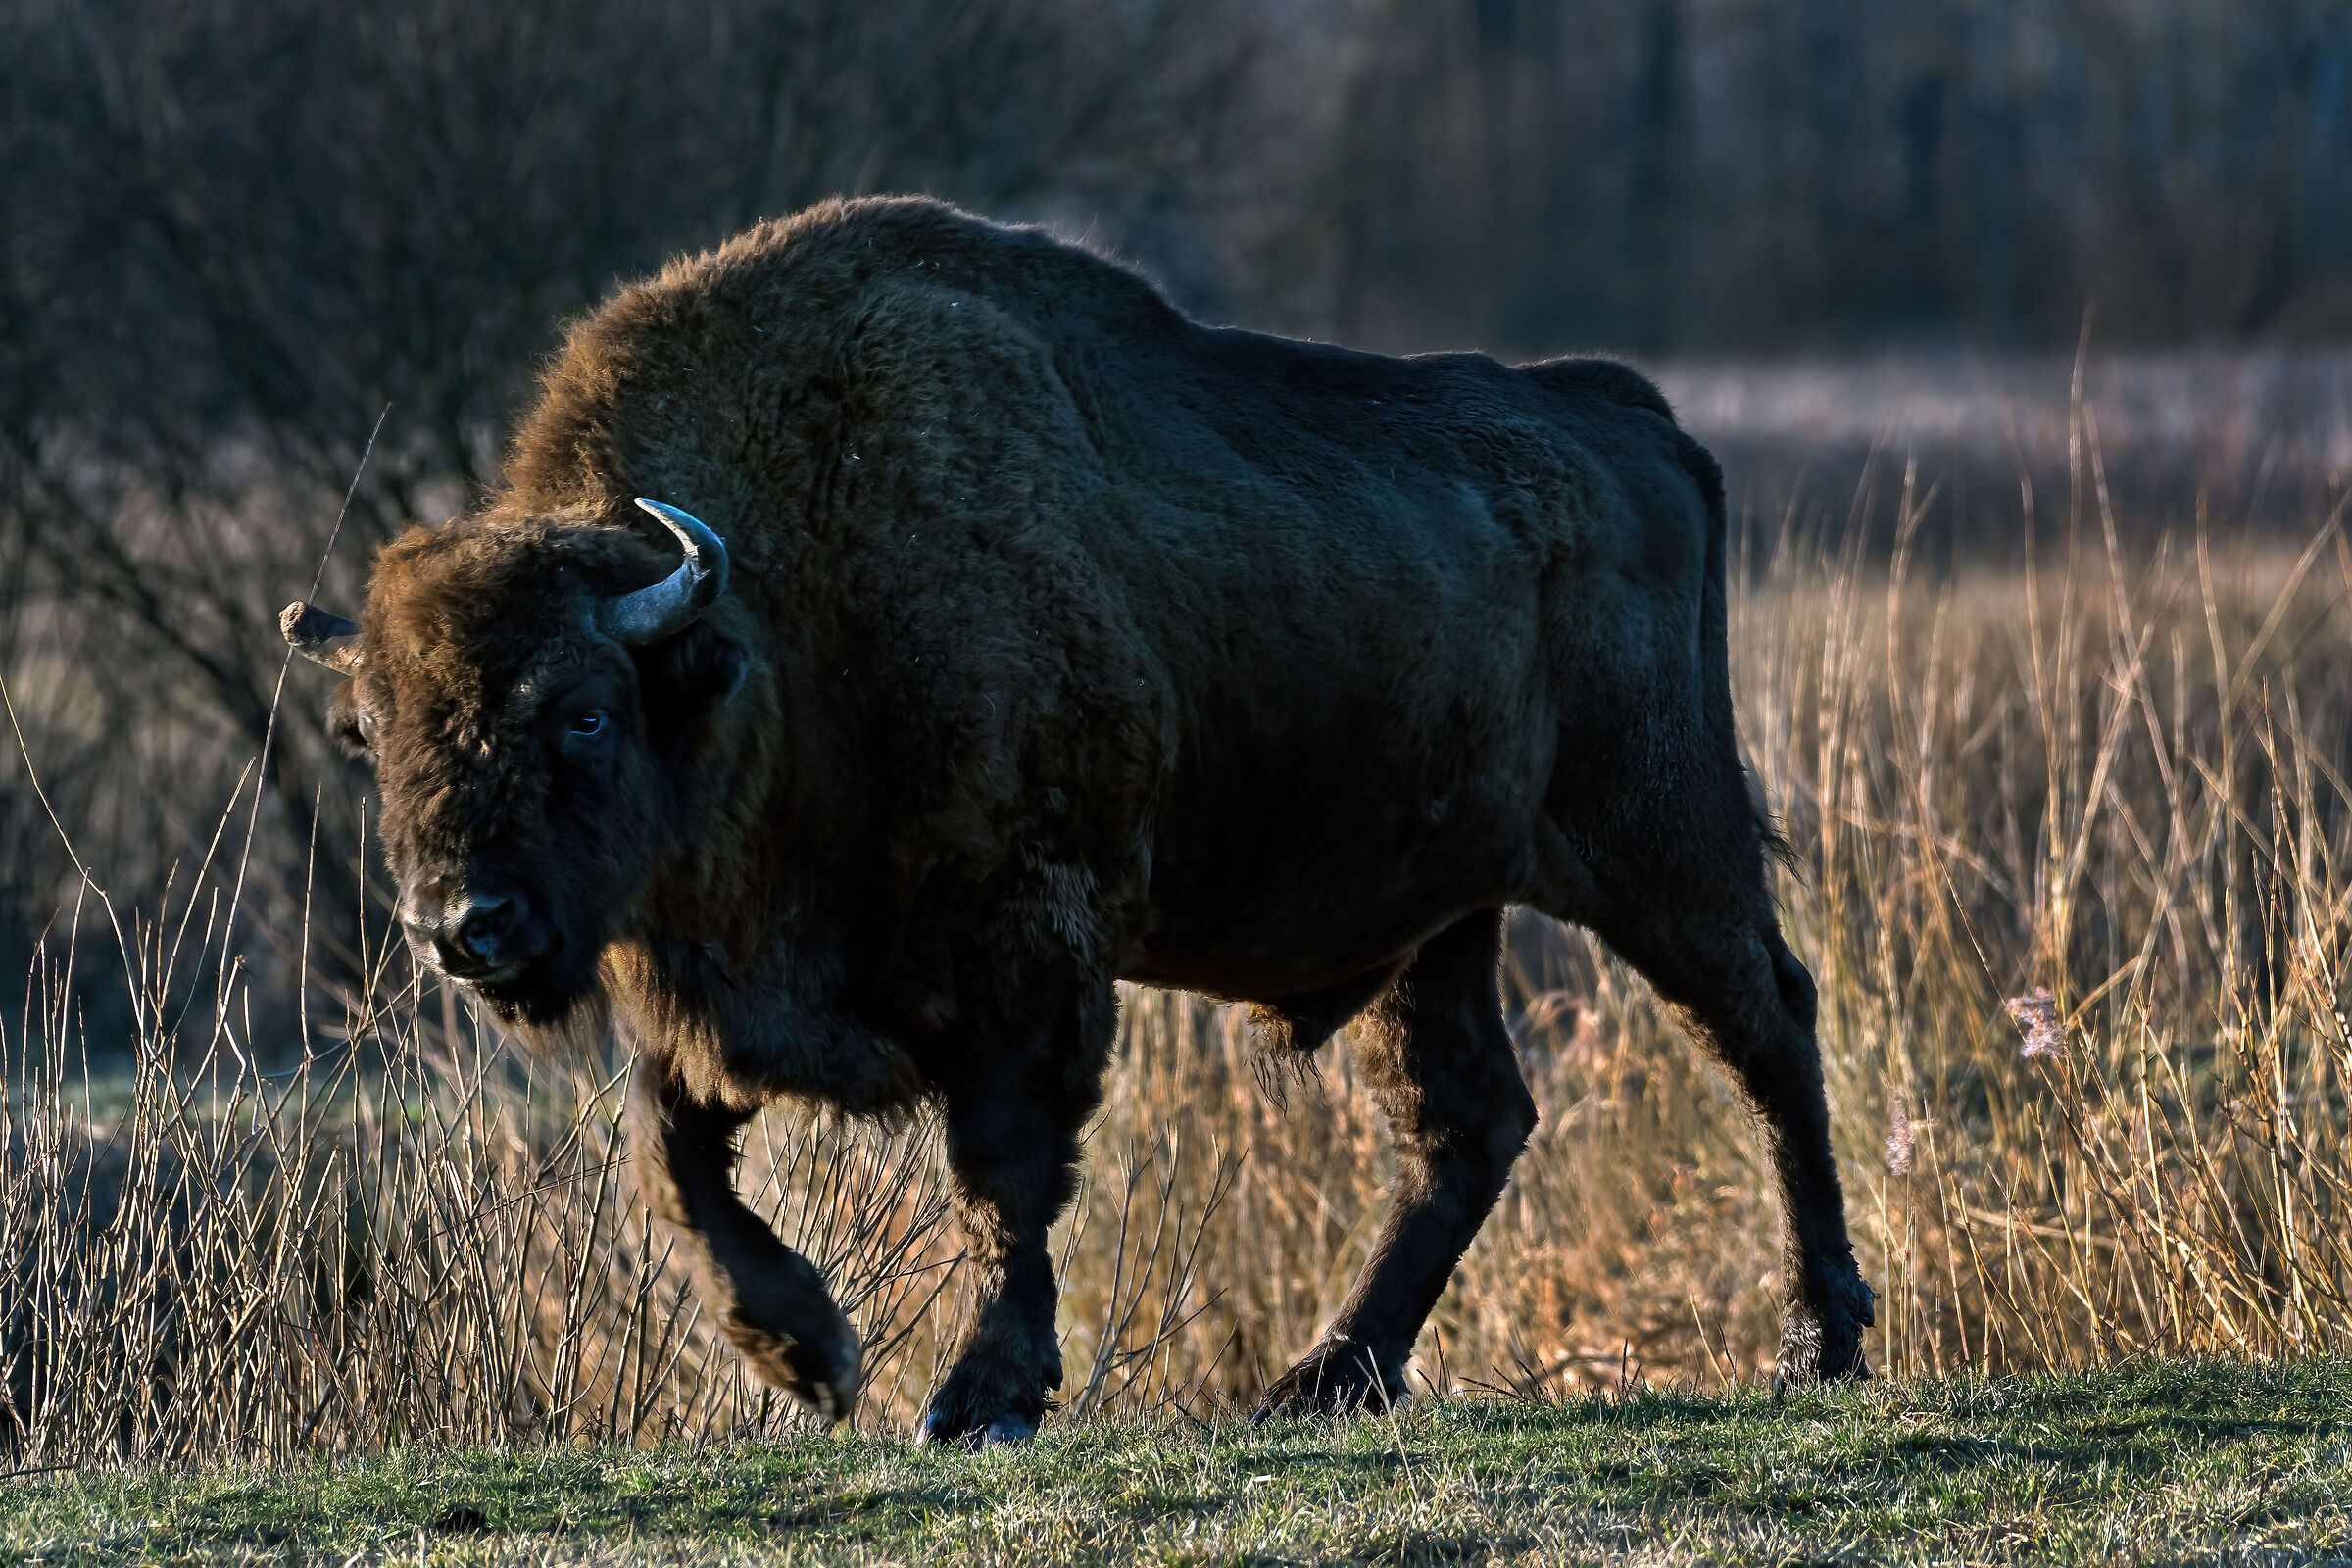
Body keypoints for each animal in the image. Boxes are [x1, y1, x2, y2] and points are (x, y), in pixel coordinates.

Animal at [282, 196, 1873, 1444]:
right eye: (372, 732)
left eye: (583, 711)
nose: (464, 928)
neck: (773, 624)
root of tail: (1629, 417)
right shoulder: (700, 989)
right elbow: (678, 1167)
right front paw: (809, 1356)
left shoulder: (1025, 954)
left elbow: (1004, 1171)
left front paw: (981, 1397)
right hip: (1438, 920)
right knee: (1468, 1122)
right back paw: (1322, 1379)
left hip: (1661, 848)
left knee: (1767, 1030)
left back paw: (1823, 1342)